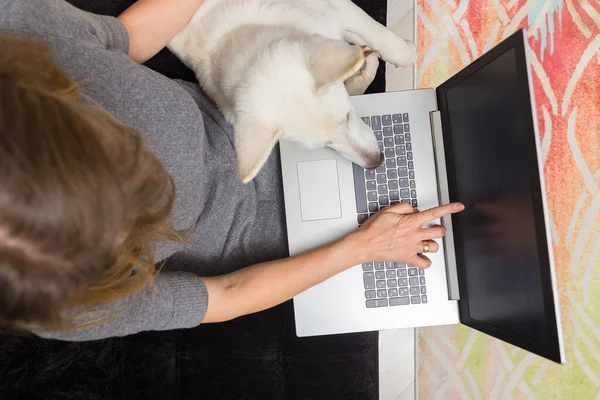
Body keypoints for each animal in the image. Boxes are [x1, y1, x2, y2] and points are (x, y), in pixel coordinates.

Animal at [170, 0, 418, 183]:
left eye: (348, 117)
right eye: (325, 145)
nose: (376, 163)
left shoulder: (335, 11)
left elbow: (386, 41)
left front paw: (411, 52)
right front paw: (367, 66)